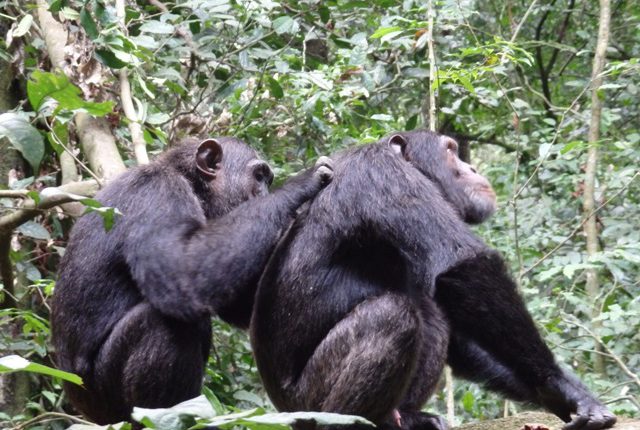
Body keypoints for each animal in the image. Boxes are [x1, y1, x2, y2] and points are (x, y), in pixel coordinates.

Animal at [52, 137, 332, 424]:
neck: (191, 183)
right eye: (259, 176)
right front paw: (302, 183)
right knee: (164, 323)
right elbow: (182, 268)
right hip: (105, 397)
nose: (265, 192)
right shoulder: (158, 194)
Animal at [250, 130, 616, 430]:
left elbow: (462, 333)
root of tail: (282, 410)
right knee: (392, 315)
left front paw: (560, 395)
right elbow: (462, 265)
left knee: (432, 314)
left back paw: (411, 418)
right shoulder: (381, 172)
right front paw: (560, 384)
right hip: (309, 402)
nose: (472, 168)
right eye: (451, 150)